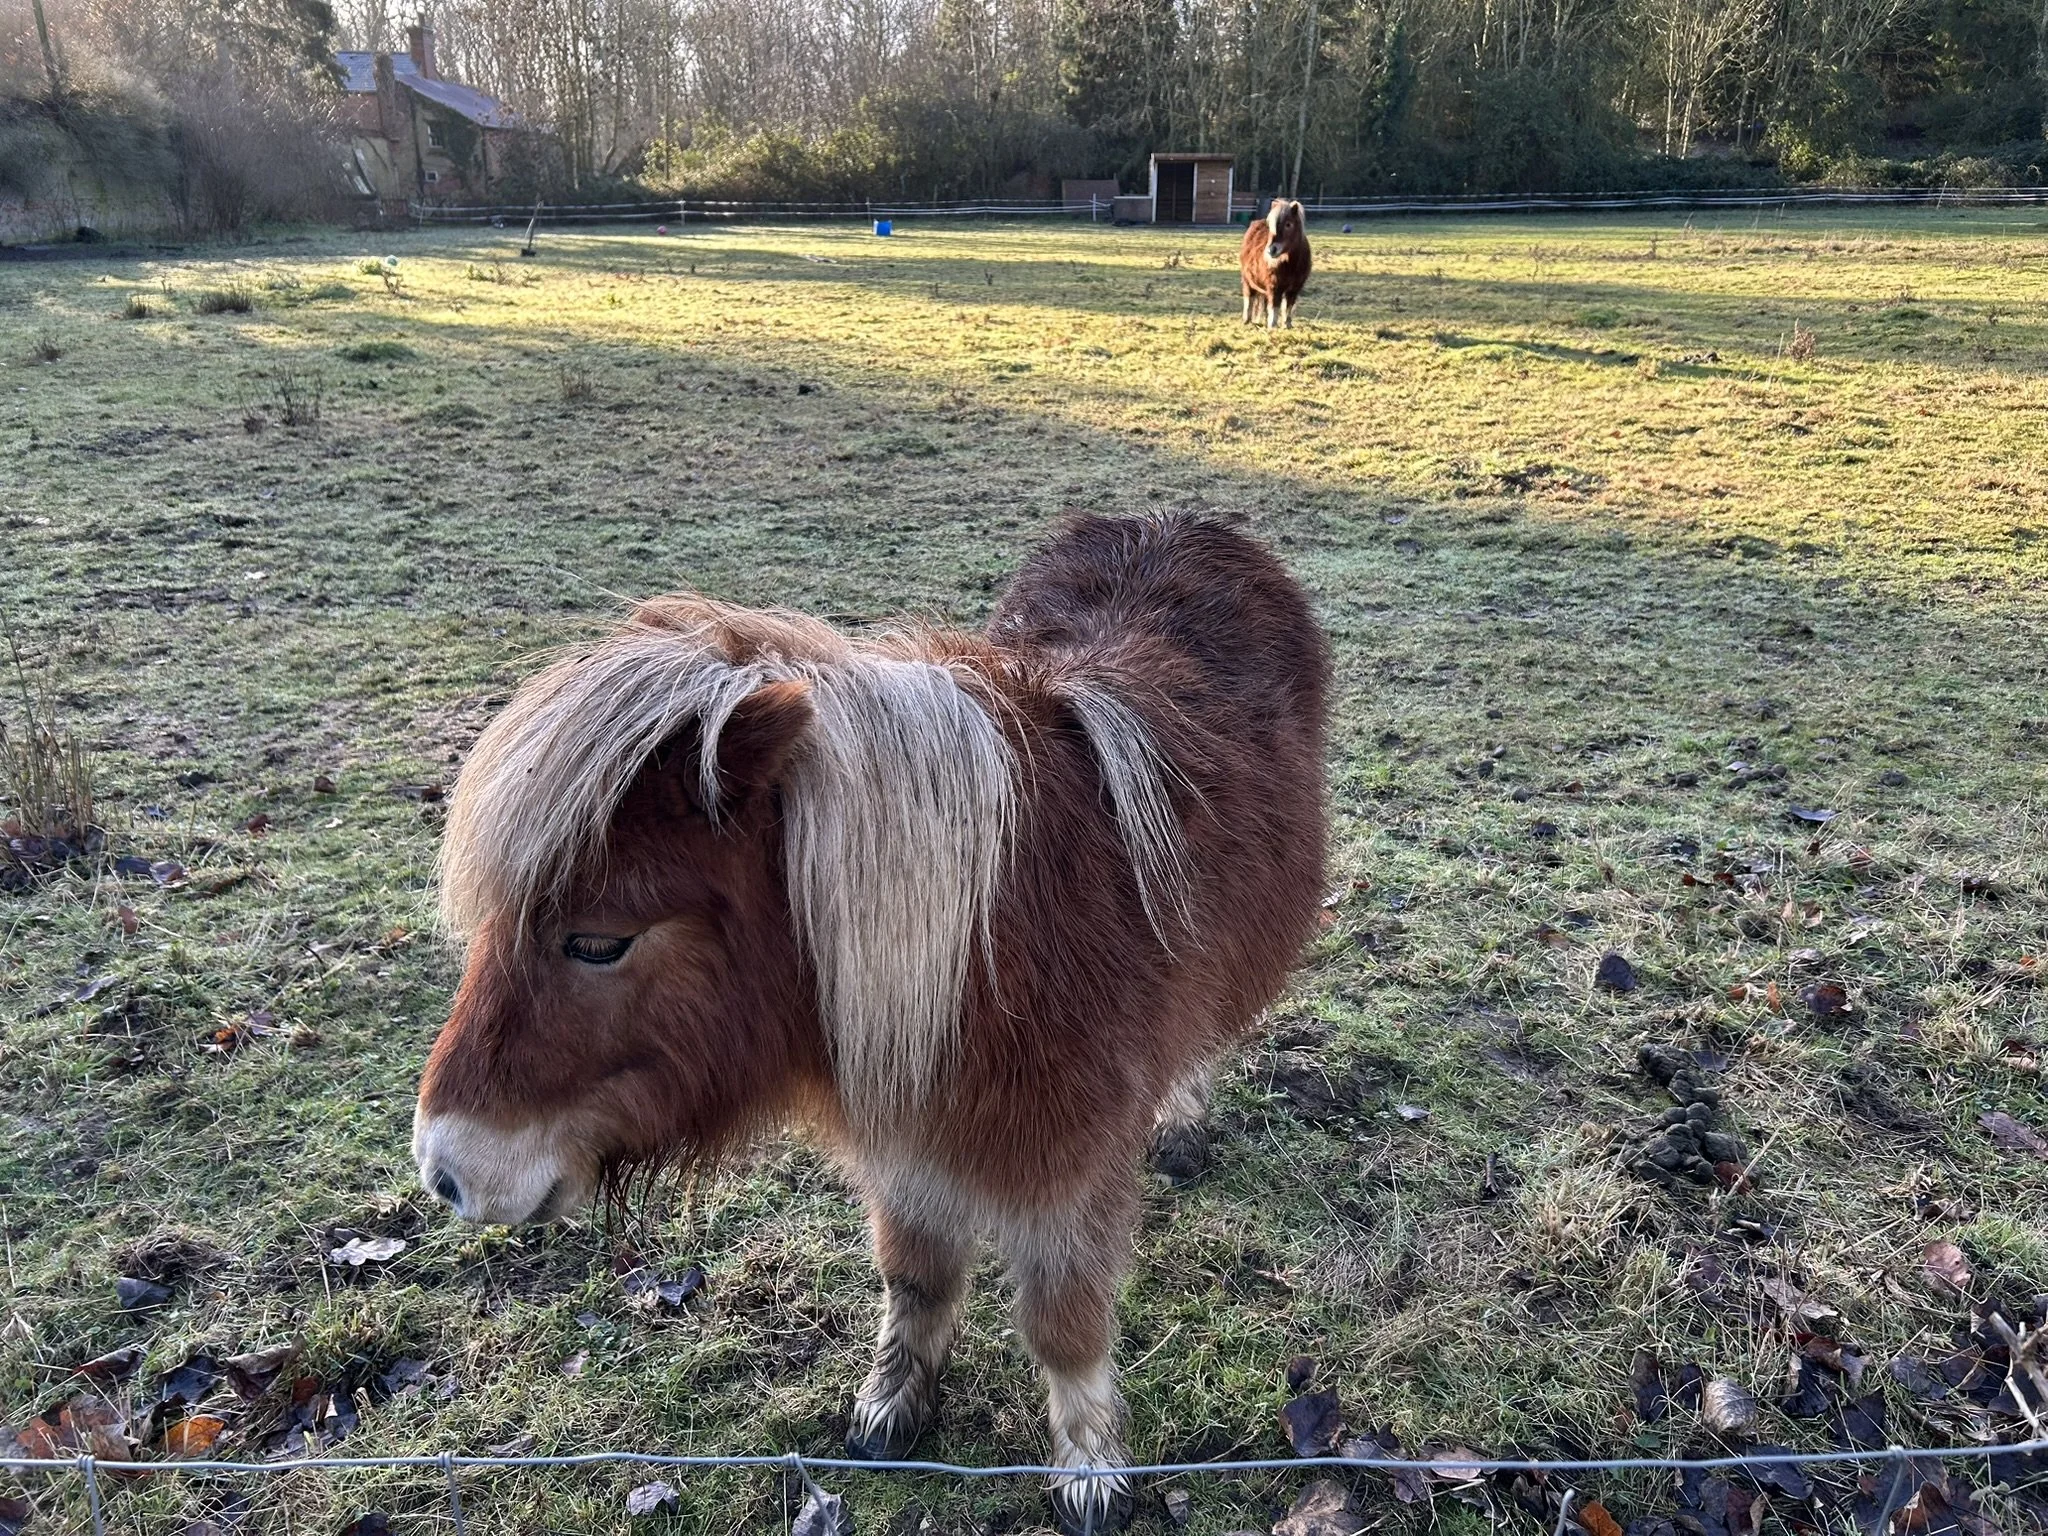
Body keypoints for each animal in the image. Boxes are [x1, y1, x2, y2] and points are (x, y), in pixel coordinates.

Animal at [412, 513, 1329, 1534]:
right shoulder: (905, 1142)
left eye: (599, 942)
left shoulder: (1071, 1171)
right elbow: (914, 1276)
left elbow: (1064, 1322)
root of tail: (1175, 525)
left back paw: (1182, 1125)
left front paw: (1089, 1466)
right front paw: (894, 1403)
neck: (988, 945)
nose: (444, 1171)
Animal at [1240, 198, 1312, 329]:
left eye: (1288, 224)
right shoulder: (1274, 286)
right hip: (1247, 280)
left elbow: (1288, 307)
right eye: (1271, 226)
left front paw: (1287, 325)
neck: (1292, 265)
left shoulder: (1295, 289)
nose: (1271, 250)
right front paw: (1272, 326)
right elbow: (1274, 307)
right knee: (1249, 299)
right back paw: (1247, 320)